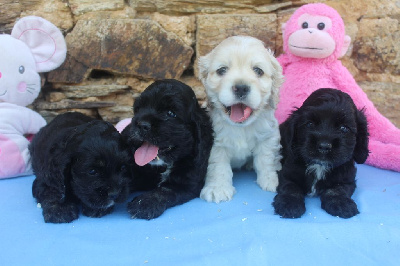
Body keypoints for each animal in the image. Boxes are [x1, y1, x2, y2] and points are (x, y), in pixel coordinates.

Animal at [122, 78, 214, 219]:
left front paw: (144, 203)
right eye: (138, 109)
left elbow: (164, 190)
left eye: (170, 113)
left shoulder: (186, 183)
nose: (141, 124)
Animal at [198, 34, 282, 202]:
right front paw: (218, 188)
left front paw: (270, 180)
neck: (241, 127)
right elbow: (218, 165)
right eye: (222, 70)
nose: (241, 88)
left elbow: (266, 159)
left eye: (258, 71)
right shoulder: (215, 143)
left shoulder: (267, 136)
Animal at [272, 89, 368, 218]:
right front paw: (289, 203)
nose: (324, 146)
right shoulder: (286, 173)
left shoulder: (347, 178)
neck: (319, 166)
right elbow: (290, 187)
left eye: (344, 128)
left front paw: (341, 203)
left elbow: (338, 189)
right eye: (309, 124)